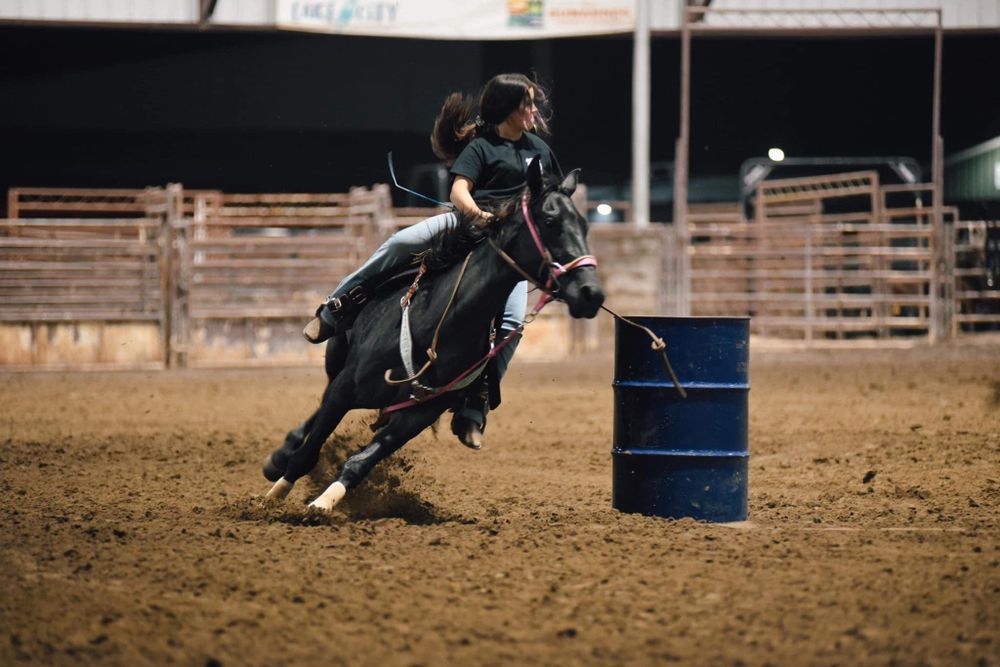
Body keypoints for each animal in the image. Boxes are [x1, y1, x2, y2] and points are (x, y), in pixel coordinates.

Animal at [264, 159, 600, 516]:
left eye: (583, 224)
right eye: (550, 221)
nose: (591, 292)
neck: (438, 324)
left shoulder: (421, 412)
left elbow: (362, 461)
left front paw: (323, 504)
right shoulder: (346, 386)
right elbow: (310, 448)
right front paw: (273, 496)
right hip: (337, 361)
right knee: (317, 412)